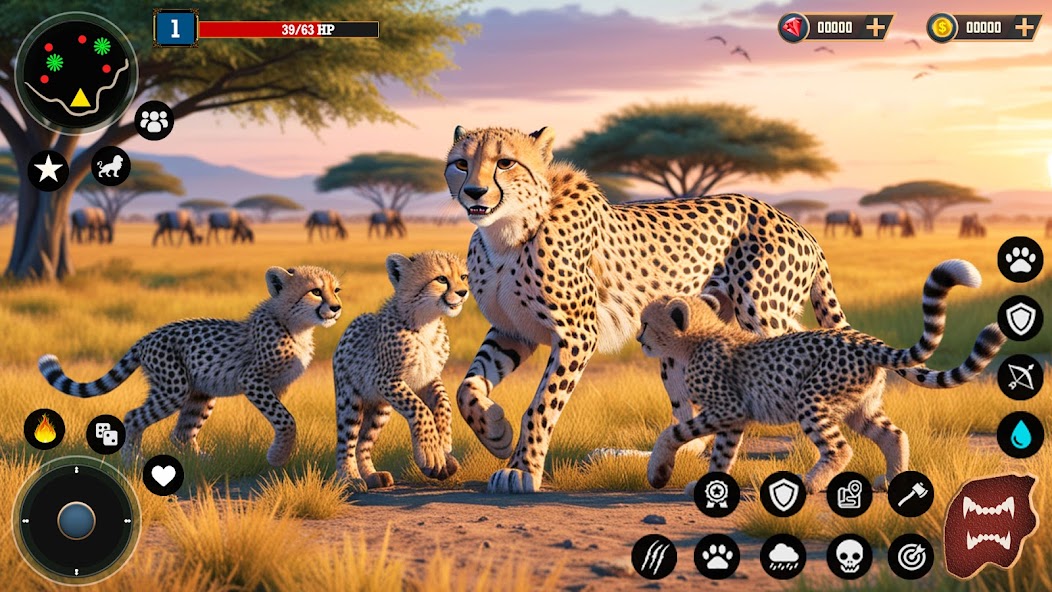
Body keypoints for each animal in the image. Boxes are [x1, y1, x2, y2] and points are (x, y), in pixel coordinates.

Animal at [38, 265, 342, 467]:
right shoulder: (253, 380)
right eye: (316, 291)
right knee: (134, 417)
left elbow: (283, 417)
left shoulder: (276, 387)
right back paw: (133, 461)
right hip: (174, 389)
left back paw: (203, 462)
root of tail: (147, 336)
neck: (295, 326)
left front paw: (279, 452)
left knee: (181, 433)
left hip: (201, 393)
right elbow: (286, 419)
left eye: (336, 290)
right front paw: (278, 456)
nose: (337, 307)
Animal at [333, 252, 468, 491]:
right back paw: (350, 478)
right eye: (441, 279)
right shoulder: (386, 379)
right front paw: (430, 452)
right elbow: (420, 409)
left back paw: (371, 475)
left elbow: (444, 404)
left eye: (463, 276)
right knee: (346, 442)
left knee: (363, 442)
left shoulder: (428, 378)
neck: (426, 323)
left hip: (380, 410)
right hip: (350, 401)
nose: (463, 292)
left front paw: (444, 446)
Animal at [444, 124, 853, 493]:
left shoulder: (578, 334)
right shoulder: (512, 330)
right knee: (695, 423)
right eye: (461, 163)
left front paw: (521, 470)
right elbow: (467, 388)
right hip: (683, 341)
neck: (506, 232)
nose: (474, 192)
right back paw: (643, 458)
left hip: (763, 315)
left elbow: (541, 405)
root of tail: (796, 224)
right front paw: (495, 431)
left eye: (505, 162)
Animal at [637, 259, 1006, 495]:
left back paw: (810, 483)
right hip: (860, 407)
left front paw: (658, 471)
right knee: (893, 435)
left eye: (645, 322)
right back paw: (892, 480)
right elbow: (722, 454)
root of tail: (866, 340)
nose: (639, 339)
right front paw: (708, 485)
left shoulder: (727, 409)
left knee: (840, 448)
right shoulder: (733, 417)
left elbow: (673, 433)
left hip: (811, 398)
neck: (697, 339)